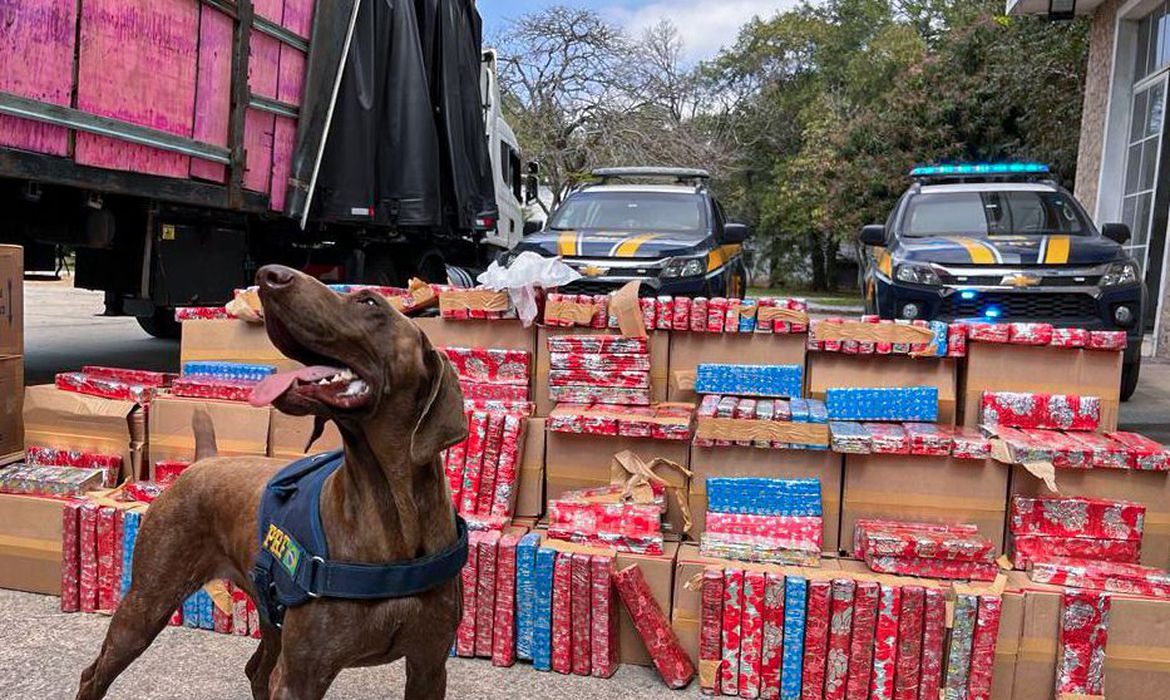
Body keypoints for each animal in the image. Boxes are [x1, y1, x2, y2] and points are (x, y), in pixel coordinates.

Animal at [75, 265, 470, 697]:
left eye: (369, 302)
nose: (269, 275)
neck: (392, 510)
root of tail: (204, 461)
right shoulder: (302, 674)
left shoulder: (429, 666)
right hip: (148, 601)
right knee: (94, 673)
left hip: (268, 613)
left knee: (257, 669)